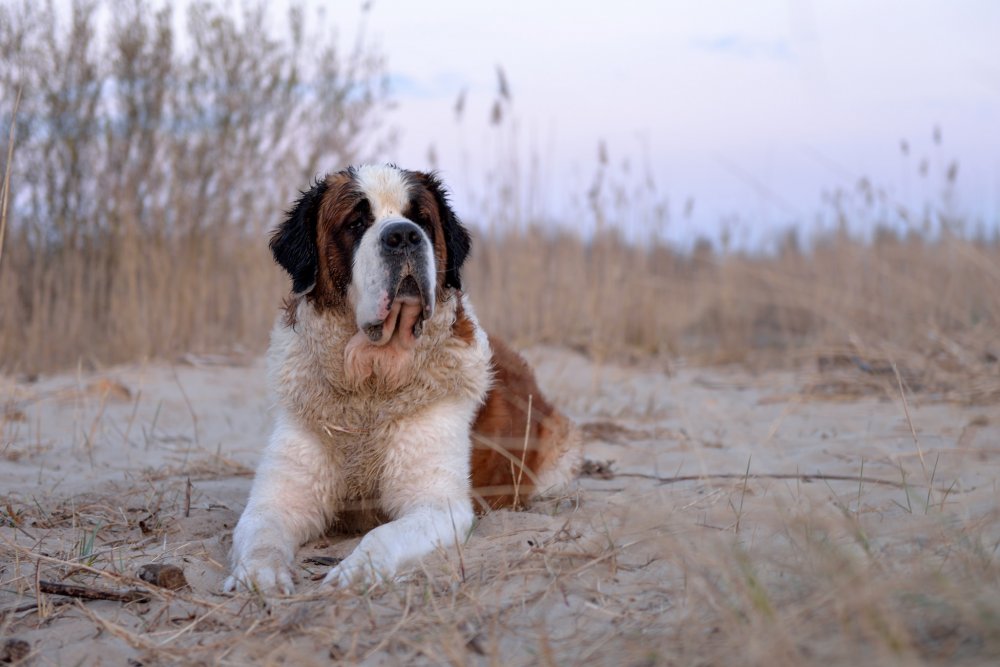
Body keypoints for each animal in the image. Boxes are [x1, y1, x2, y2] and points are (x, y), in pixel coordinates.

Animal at [223, 164, 584, 592]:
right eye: (356, 222)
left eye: (422, 220)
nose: (404, 235)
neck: (372, 378)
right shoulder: (280, 497)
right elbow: (261, 530)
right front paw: (257, 576)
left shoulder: (437, 503)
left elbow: (383, 534)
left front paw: (356, 572)